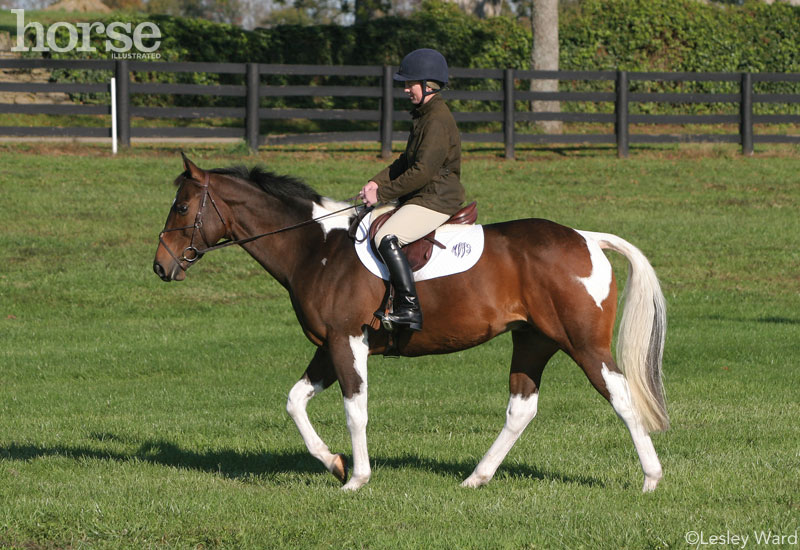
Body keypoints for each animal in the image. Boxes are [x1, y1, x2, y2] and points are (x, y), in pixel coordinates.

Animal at [152, 156, 668, 496]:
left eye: (181, 208)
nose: (161, 267)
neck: (316, 248)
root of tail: (586, 238)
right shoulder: (328, 345)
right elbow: (295, 402)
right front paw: (334, 463)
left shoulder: (347, 341)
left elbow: (355, 410)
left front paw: (357, 479)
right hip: (533, 342)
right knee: (521, 409)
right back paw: (476, 478)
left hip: (583, 344)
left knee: (621, 398)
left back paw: (650, 478)